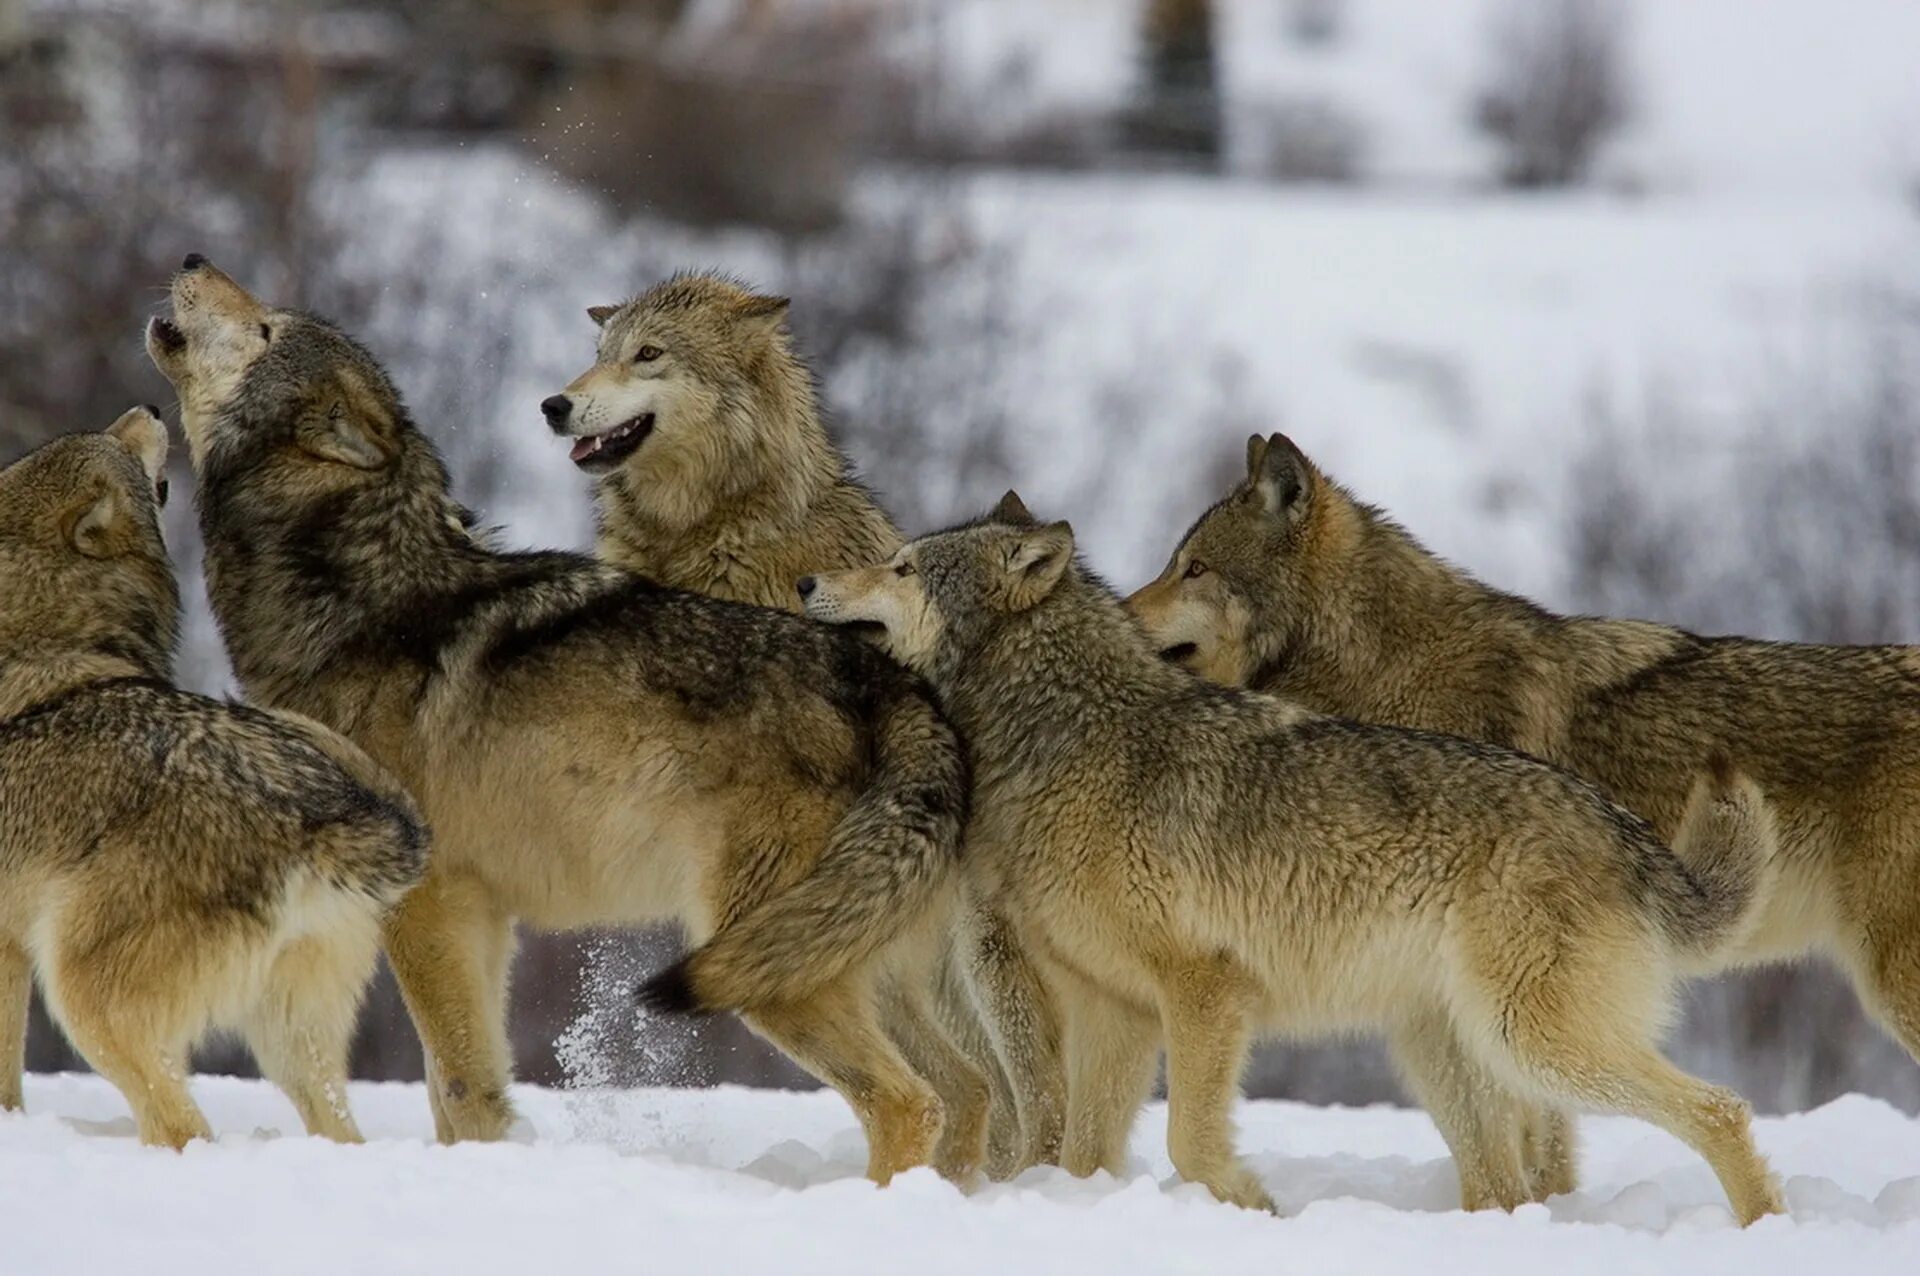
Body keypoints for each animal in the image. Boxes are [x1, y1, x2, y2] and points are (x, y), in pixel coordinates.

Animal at [0, 404, 424, 1143]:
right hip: (293, 1043)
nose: (150, 409)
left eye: (113, 440)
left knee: (181, 1127)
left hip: (86, 999)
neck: (47, 631)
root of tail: (321, 814)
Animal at [145, 259, 975, 1181]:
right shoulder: (481, 914)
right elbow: (460, 1090)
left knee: (912, 1103)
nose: (191, 261)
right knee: (968, 1089)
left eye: (265, 330)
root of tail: (898, 689)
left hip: (764, 964)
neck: (357, 599)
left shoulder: (427, 901)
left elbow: (459, 1082)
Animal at [798, 498, 1781, 1228]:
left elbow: (1191, 1143)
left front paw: (1253, 1209)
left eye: (902, 567)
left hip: (1533, 1044)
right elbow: (1082, 1157)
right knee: (1507, 1187)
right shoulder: (1112, 1008)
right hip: (1450, 1054)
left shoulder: (1205, 988)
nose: (807, 579)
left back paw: (1763, 1228)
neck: (1069, 738)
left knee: (1722, 1108)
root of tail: (1620, 826)